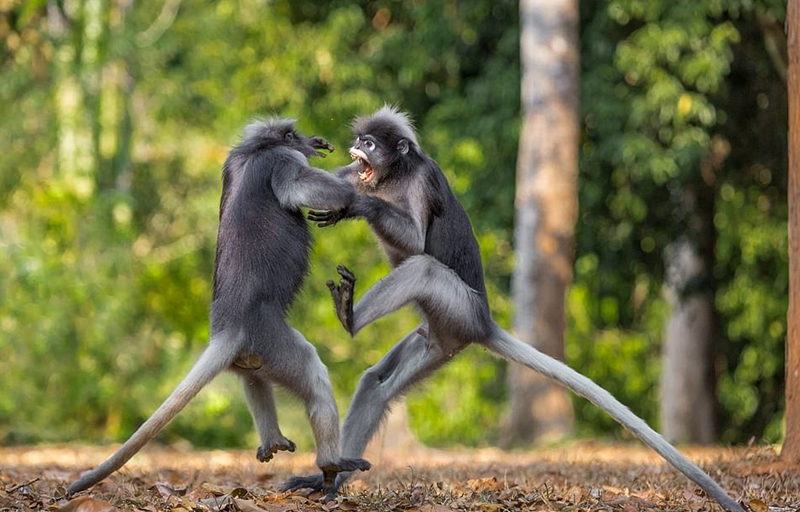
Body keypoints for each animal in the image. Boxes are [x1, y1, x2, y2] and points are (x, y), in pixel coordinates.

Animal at [67, 118, 370, 498]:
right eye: (295, 136)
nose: (310, 141)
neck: (255, 149)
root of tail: (229, 329)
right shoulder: (281, 160)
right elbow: (299, 188)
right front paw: (356, 179)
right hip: (270, 337)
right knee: (314, 376)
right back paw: (331, 464)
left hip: (252, 354)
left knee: (254, 379)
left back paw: (274, 441)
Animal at [282, 105, 744, 512]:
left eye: (371, 143)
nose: (356, 144)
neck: (392, 178)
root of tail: (484, 323)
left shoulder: (422, 181)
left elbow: (415, 242)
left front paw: (356, 206)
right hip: (437, 337)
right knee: (374, 384)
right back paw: (330, 479)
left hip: (456, 307)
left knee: (425, 269)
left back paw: (350, 318)